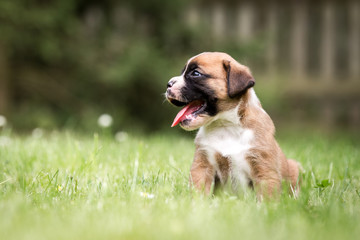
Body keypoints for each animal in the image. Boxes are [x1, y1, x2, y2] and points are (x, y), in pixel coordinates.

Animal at [165, 52, 300, 199]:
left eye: (195, 73)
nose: (168, 84)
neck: (225, 125)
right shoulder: (202, 165)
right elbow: (199, 190)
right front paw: (197, 203)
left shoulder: (264, 169)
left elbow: (266, 196)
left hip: (295, 167)